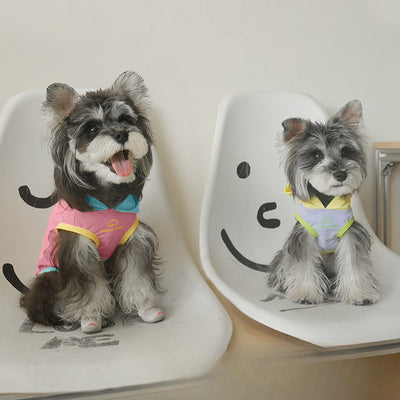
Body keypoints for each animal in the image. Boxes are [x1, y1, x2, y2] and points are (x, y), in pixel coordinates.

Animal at [20, 72, 165, 333]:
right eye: (92, 127)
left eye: (125, 119)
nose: (121, 134)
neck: (106, 198)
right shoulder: (78, 249)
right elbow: (89, 288)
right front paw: (90, 317)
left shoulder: (134, 241)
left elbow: (136, 276)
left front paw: (146, 308)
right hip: (47, 278)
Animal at [267, 99, 379, 305]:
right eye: (317, 155)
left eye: (346, 151)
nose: (341, 174)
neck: (327, 201)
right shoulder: (303, 237)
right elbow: (304, 264)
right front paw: (305, 293)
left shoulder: (351, 234)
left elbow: (354, 263)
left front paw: (360, 293)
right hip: (283, 256)